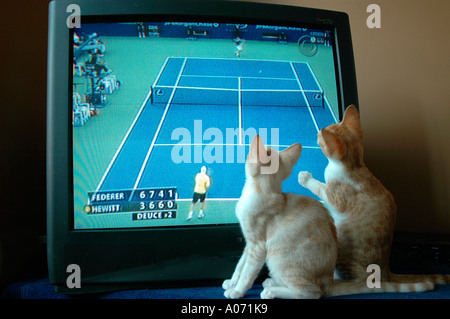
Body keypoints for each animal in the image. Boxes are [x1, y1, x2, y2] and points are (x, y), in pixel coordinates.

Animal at [222, 135, 432, 300]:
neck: (261, 192)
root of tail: (329, 280)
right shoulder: (249, 243)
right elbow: (239, 265)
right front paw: (232, 282)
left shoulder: (258, 246)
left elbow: (248, 272)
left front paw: (238, 291)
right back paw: (272, 283)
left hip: (277, 259)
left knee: (312, 293)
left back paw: (272, 291)